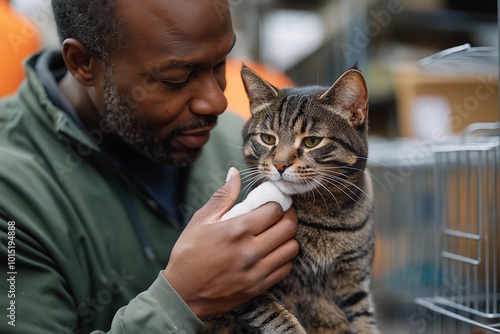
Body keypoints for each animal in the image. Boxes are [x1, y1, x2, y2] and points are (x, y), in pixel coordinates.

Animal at [203, 66, 378, 334]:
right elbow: (279, 321)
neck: (323, 216)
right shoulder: (244, 289)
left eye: (312, 141)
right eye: (267, 138)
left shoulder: (355, 281)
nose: (280, 164)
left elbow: (364, 321)